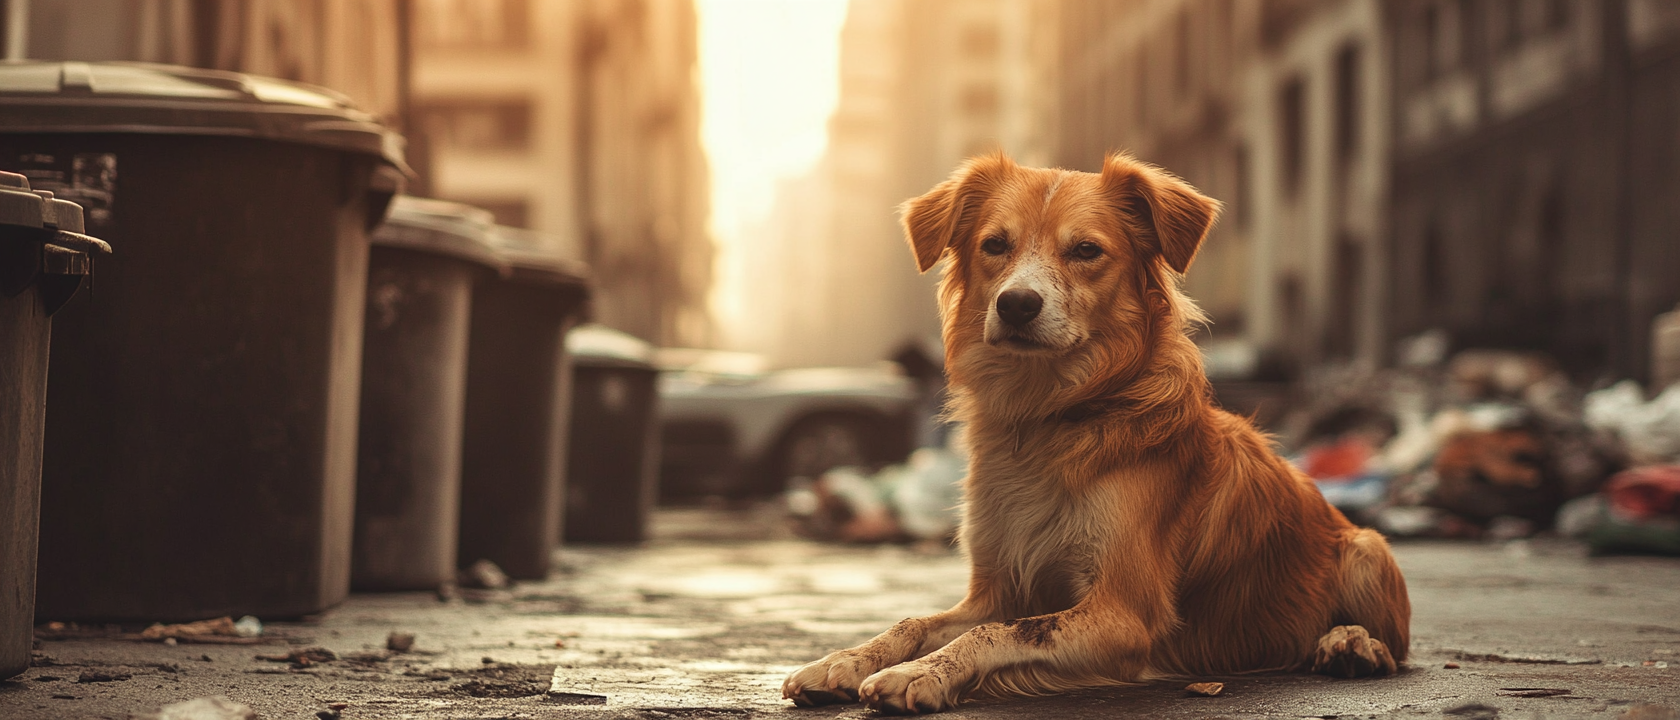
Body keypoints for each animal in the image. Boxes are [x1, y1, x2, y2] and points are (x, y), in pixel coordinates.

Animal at [779, 152, 1411, 711]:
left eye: (1086, 250)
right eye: (995, 245)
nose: (1016, 304)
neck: (1053, 410)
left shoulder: (1124, 615)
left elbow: (1009, 631)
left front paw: (919, 674)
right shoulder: (997, 589)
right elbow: (916, 621)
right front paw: (842, 661)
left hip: (1366, 549)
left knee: (1394, 646)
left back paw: (1349, 644)